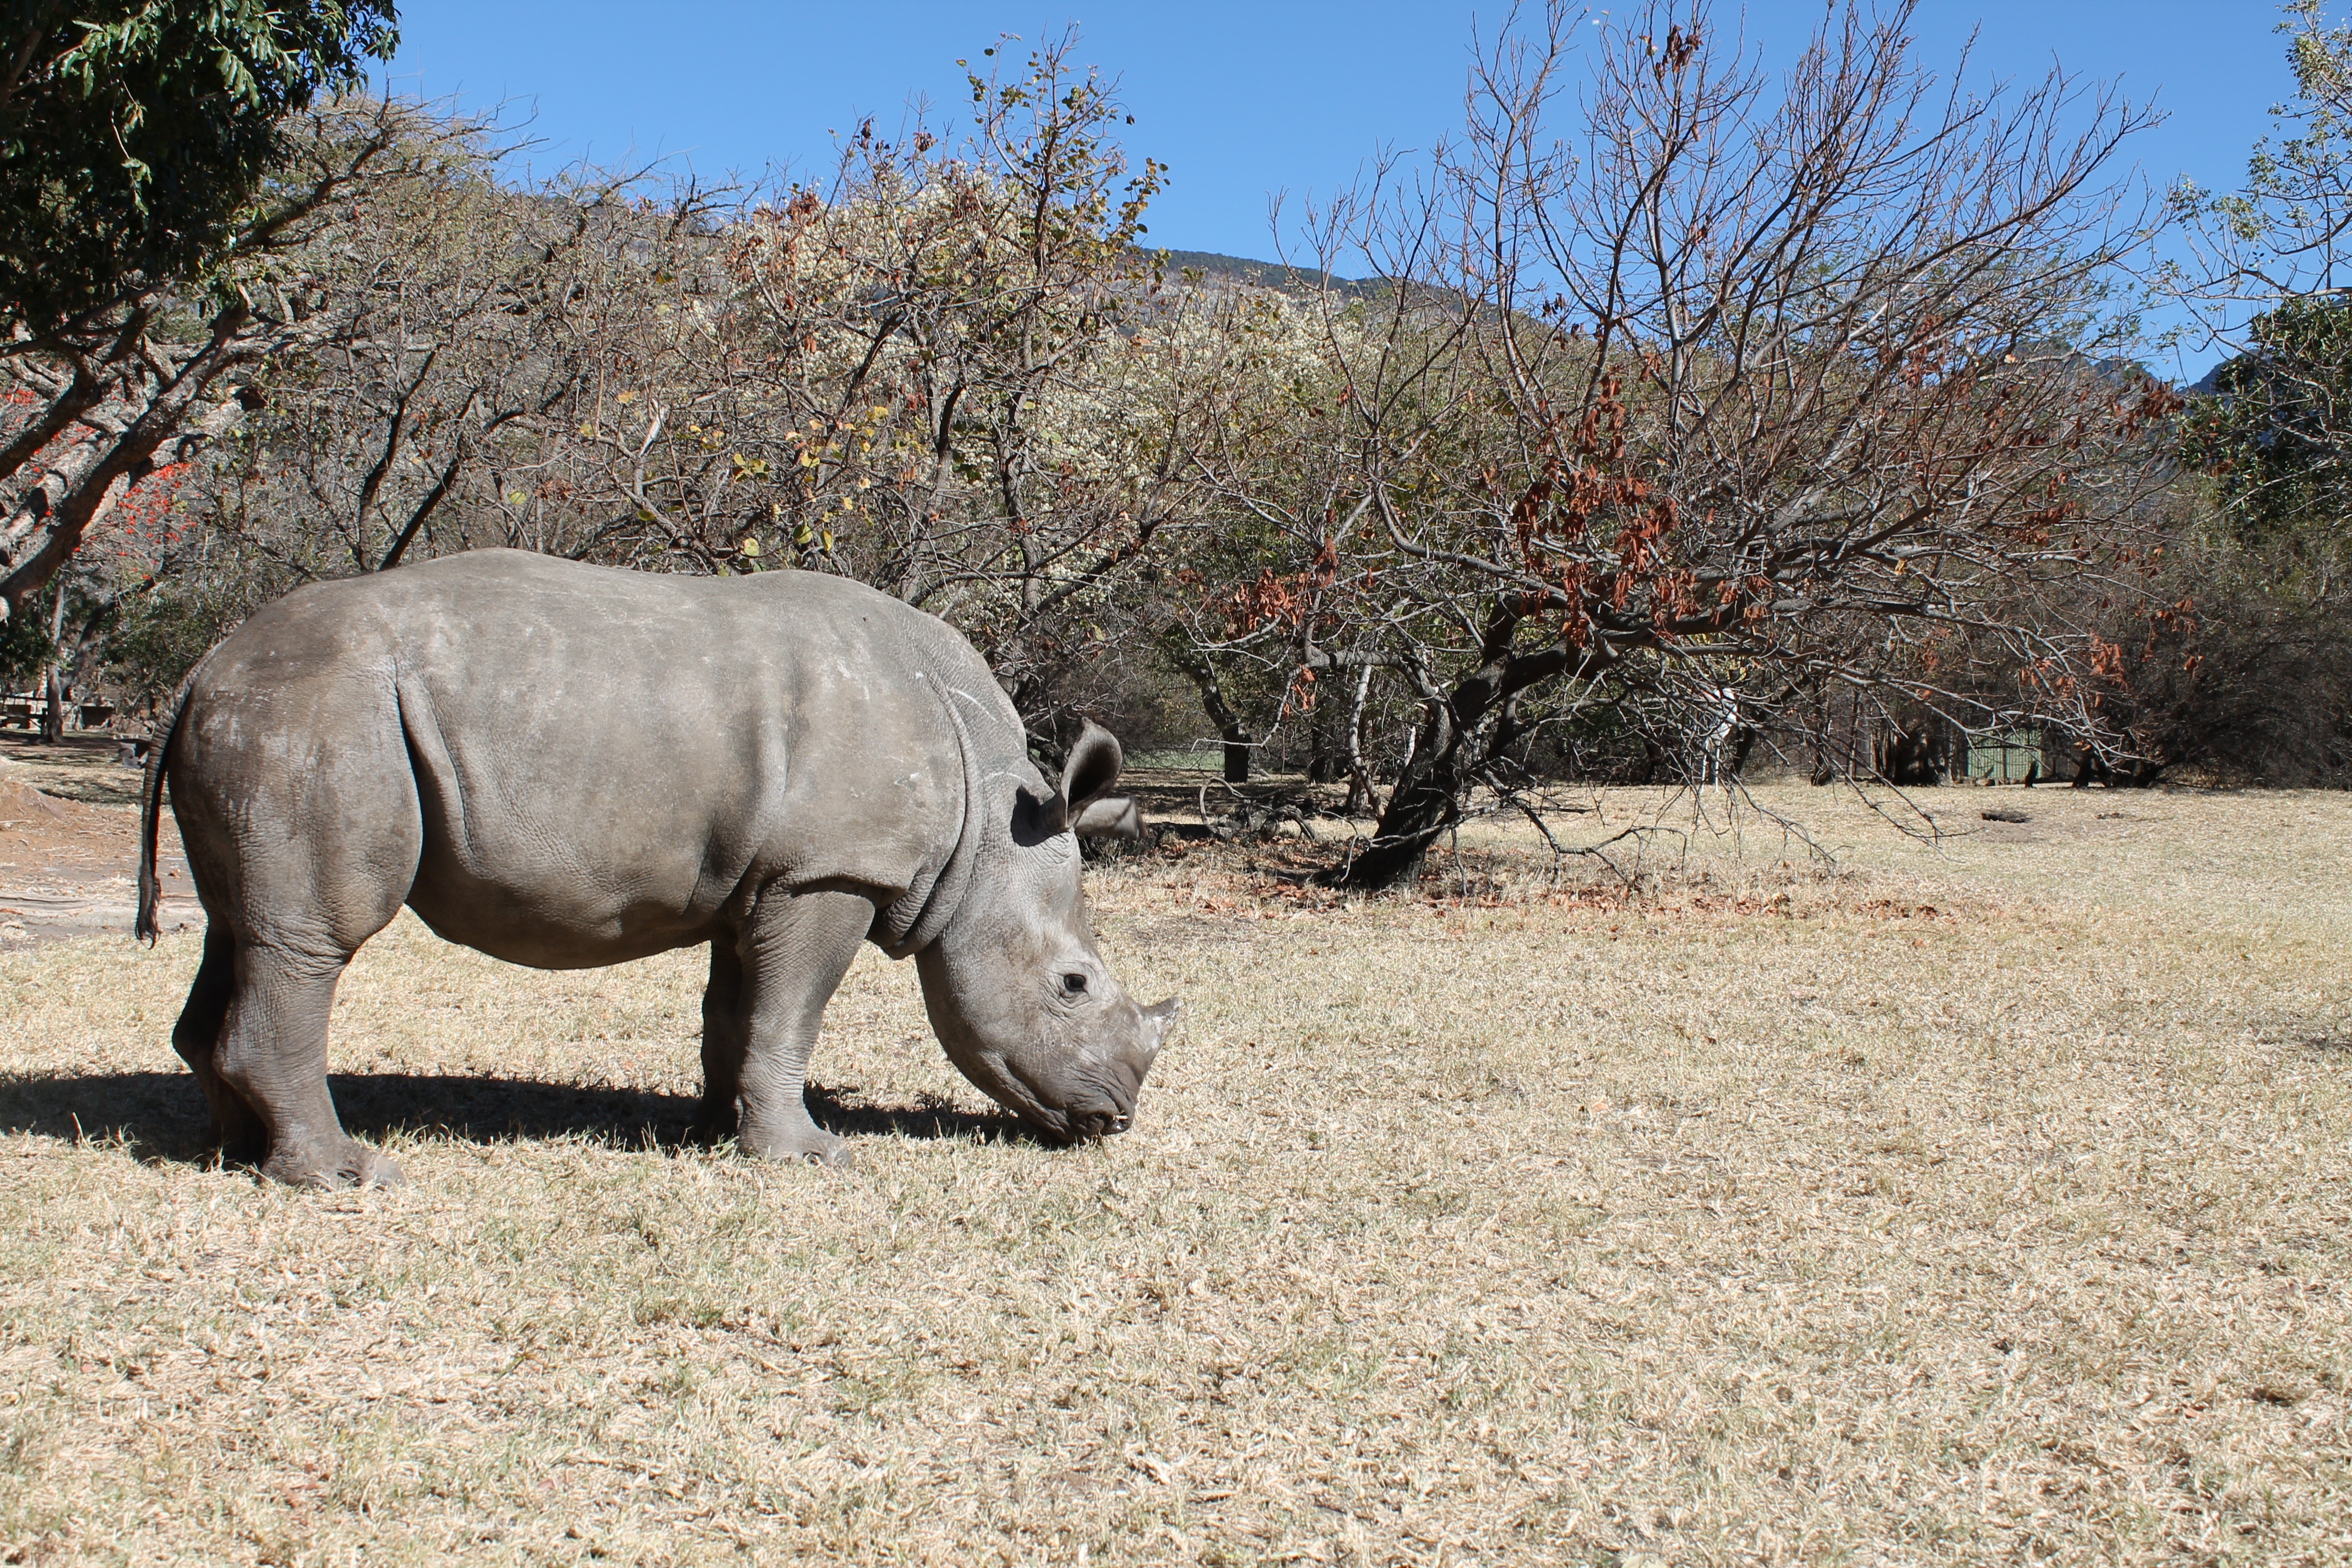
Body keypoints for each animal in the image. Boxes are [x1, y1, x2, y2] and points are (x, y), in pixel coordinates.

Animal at [134, 549, 1177, 1187]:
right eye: (1074, 985)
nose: (1116, 1119)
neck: (989, 816)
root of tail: (199, 670)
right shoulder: (830, 872)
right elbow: (793, 1012)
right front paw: (807, 1156)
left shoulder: (765, 879)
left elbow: (738, 1013)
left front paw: (716, 1132)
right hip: (324, 708)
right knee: (312, 941)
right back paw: (345, 1174)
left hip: (272, 714)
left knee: (243, 931)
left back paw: (237, 1153)